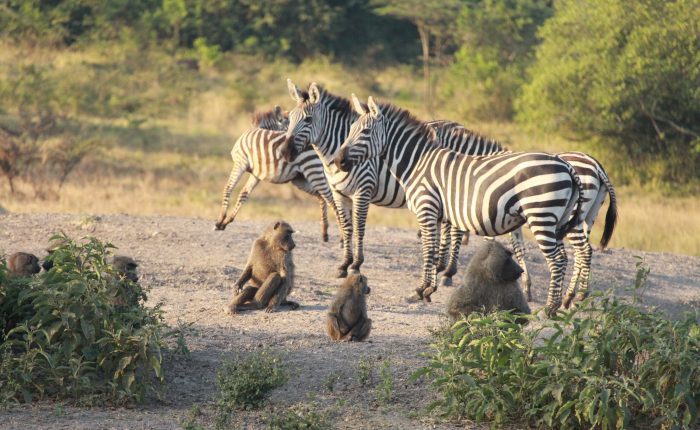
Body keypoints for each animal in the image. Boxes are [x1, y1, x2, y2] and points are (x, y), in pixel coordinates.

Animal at [215, 106, 344, 242]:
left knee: (330, 198)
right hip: (301, 179)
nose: (288, 149)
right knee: (321, 196)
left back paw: (342, 235)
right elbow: (243, 194)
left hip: (313, 170)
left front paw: (220, 220)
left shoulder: (240, 162)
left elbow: (228, 187)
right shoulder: (256, 175)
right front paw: (227, 220)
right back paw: (325, 231)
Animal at [334, 95, 584, 314]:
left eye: (365, 131)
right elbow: (434, 249)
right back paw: (560, 304)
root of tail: (565, 165)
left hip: (541, 215)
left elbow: (428, 250)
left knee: (557, 260)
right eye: (350, 130)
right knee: (565, 256)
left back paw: (550, 308)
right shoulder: (436, 214)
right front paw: (429, 289)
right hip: (556, 221)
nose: (337, 161)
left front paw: (421, 290)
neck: (417, 163)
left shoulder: (426, 208)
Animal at [424, 120, 616, 306]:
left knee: (583, 251)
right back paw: (571, 297)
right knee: (581, 252)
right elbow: (519, 249)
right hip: (588, 217)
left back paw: (576, 296)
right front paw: (527, 287)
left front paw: (447, 271)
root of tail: (597, 166)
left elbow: (461, 233)